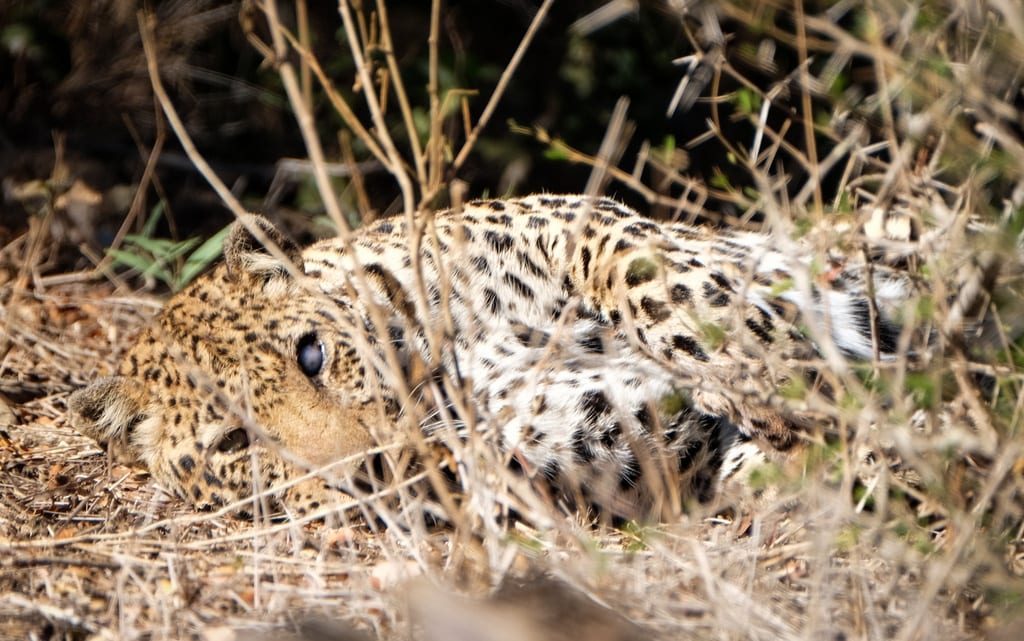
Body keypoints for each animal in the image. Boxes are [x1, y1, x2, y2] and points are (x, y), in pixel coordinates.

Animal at [66, 193, 966, 520]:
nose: (364, 466)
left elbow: (642, 273)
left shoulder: (583, 221)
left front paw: (766, 367)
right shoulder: (614, 447)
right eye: (234, 443)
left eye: (312, 355)